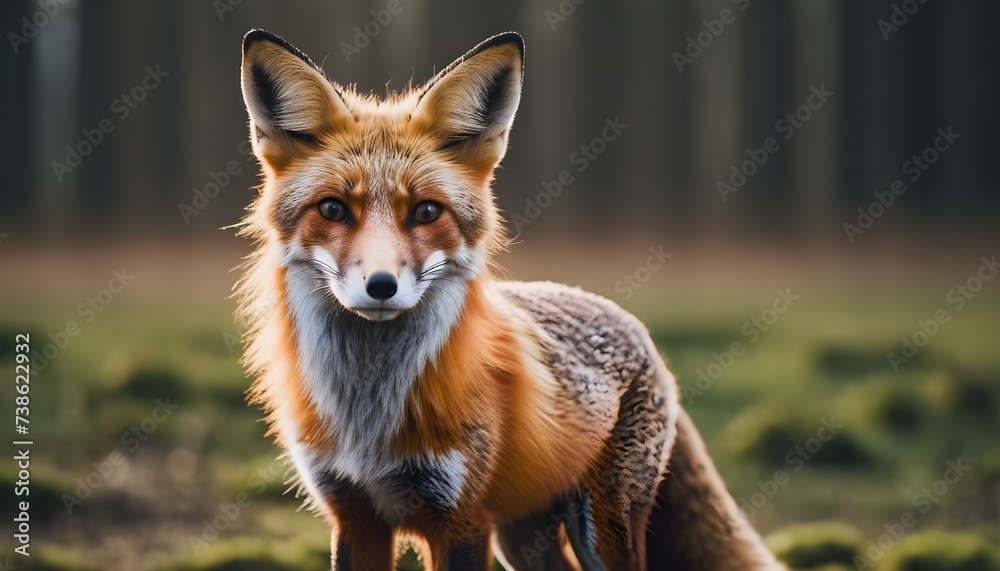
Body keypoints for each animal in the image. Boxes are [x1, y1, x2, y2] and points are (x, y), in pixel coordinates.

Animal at [236, 29, 785, 571]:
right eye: (332, 209)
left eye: (426, 212)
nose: (381, 285)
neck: (368, 415)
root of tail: (632, 322)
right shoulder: (354, 516)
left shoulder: (461, 521)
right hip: (522, 537)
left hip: (600, 532)